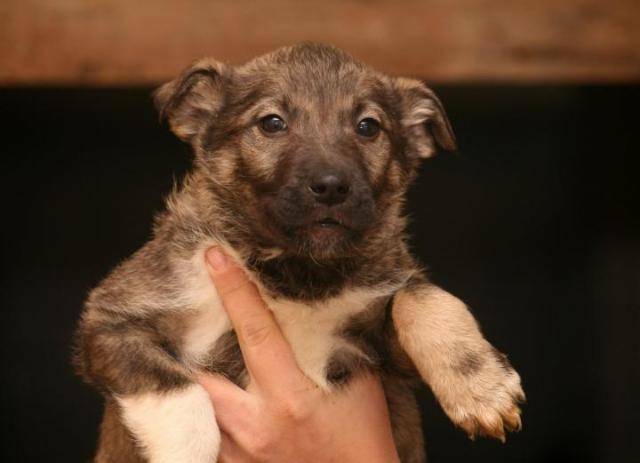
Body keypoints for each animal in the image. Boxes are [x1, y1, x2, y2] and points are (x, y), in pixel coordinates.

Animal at [75, 43, 524, 463]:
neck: (298, 272)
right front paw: (186, 448)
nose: (331, 187)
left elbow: (422, 299)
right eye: (272, 123)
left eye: (368, 127)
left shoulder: (383, 358)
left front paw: (480, 386)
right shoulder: (112, 317)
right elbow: (176, 390)